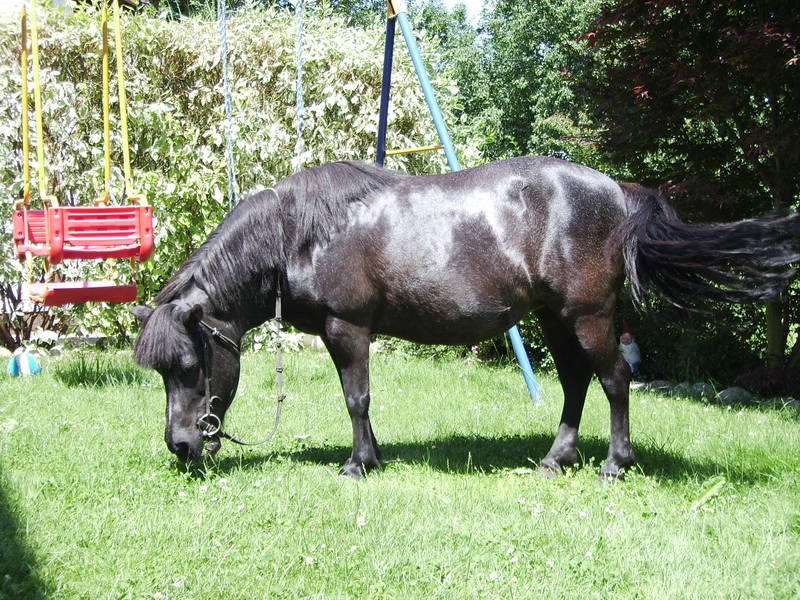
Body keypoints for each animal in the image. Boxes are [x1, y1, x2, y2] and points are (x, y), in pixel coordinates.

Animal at [133, 157, 800, 480]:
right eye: (160, 373)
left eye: (189, 364)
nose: (182, 446)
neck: (302, 233)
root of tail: (620, 192)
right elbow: (362, 401)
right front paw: (373, 456)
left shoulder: (347, 328)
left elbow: (356, 398)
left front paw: (357, 464)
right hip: (554, 319)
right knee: (575, 382)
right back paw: (557, 458)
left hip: (588, 316)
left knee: (614, 380)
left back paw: (615, 463)